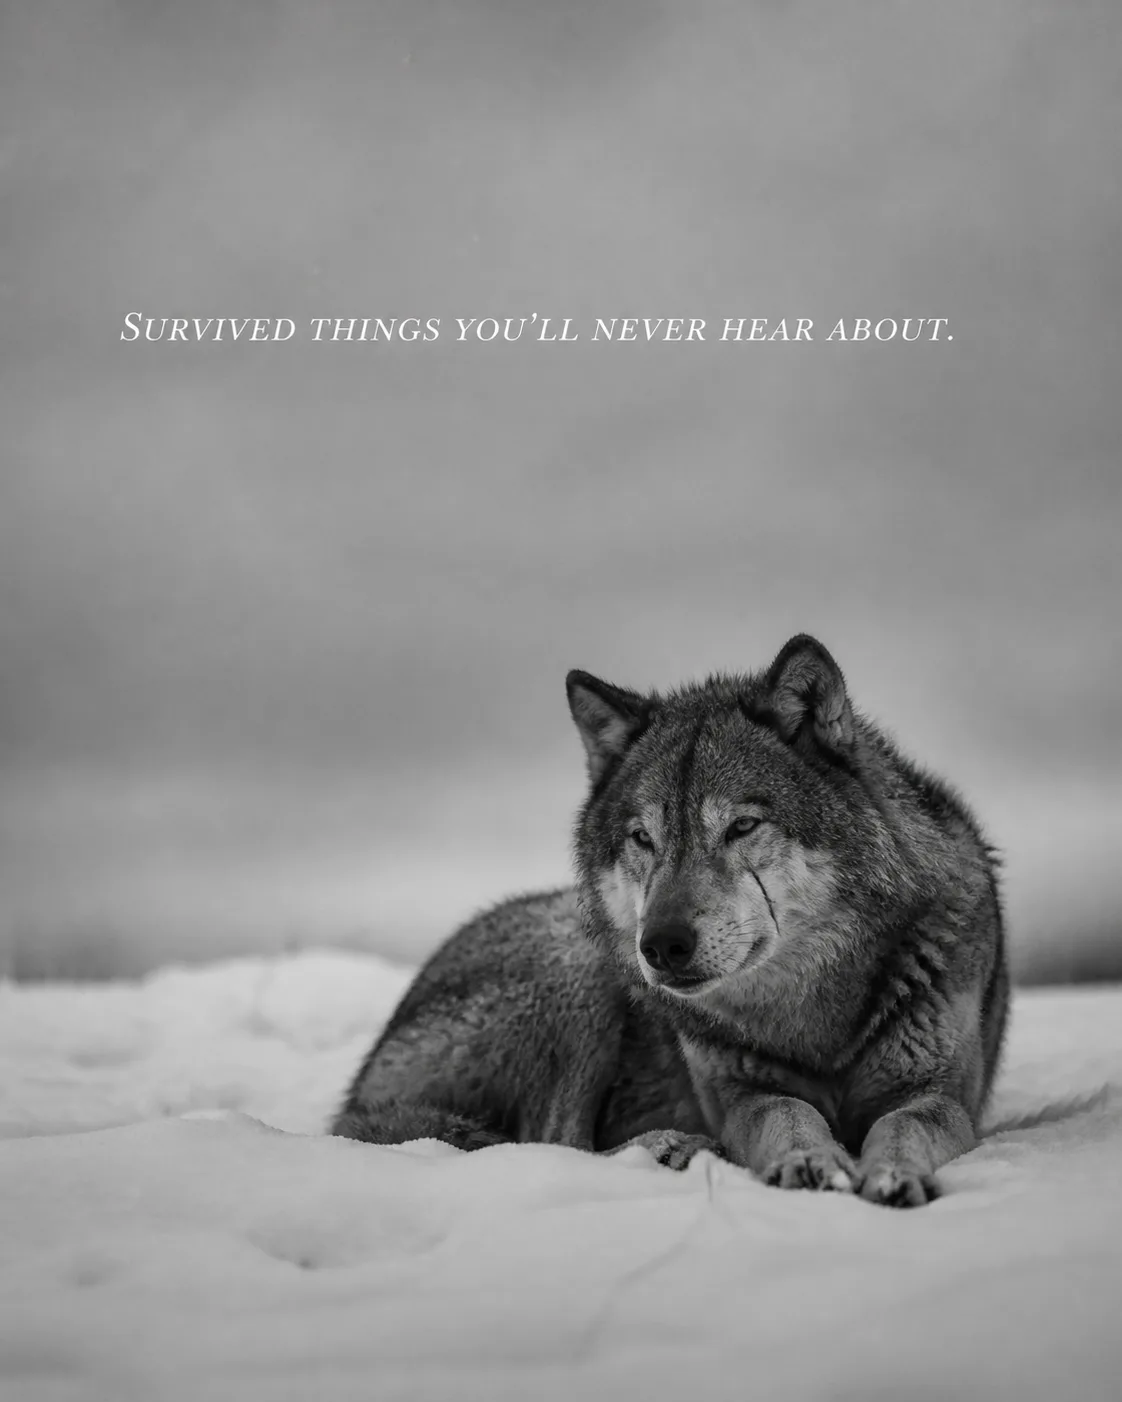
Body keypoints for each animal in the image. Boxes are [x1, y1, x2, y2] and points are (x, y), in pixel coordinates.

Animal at [332, 634, 1008, 1206]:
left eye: (741, 826)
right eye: (643, 839)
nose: (660, 945)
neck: (816, 1021)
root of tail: (357, 1090)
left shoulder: (941, 1096)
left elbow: (903, 1127)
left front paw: (891, 1174)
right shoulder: (741, 1098)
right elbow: (789, 1114)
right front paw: (810, 1162)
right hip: (584, 972)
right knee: (554, 1140)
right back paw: (671, 1147)